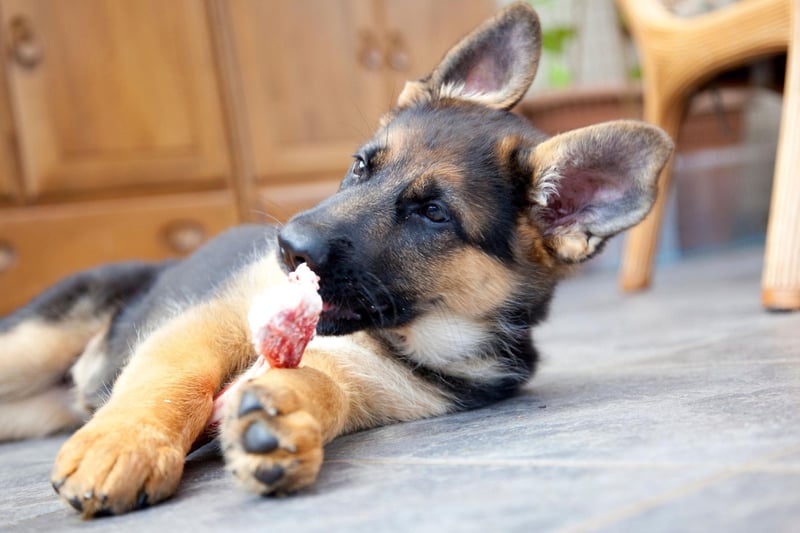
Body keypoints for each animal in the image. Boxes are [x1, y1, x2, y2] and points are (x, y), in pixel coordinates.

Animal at [0, 2, 668, 516]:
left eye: (433, 214)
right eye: (360, 166)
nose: (288, 246)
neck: (400, 334)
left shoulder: (383, 387)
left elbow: (327, 384)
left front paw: (285, 422)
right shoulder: (206, 324)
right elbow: (174, 379)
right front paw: (127, 443)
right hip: (28, 347)